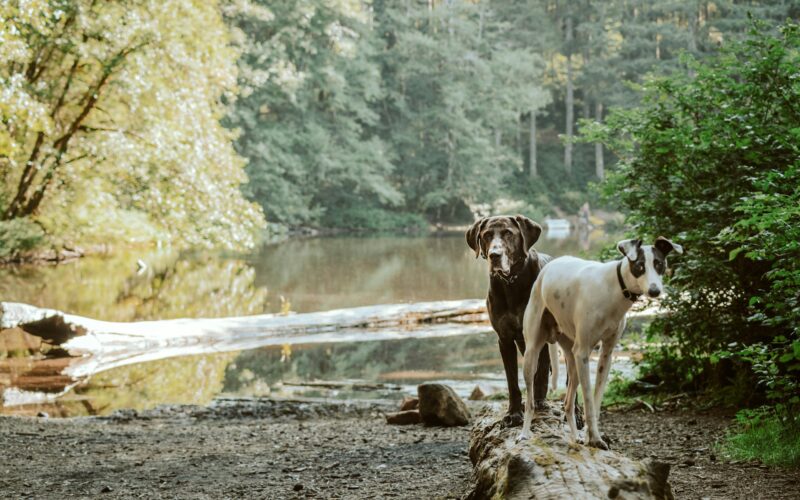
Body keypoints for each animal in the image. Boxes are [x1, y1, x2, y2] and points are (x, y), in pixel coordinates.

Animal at [520, 236, 680, 448]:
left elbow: (595, 403)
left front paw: (592, 436)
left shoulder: (606, 354)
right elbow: (588, 400)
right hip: (533, 354)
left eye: (659, 264)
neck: (613, 289)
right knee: (530, 401)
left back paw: (576, 437)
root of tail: (548, 267)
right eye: (639, 266)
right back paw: (523, 434)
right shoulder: (583, 352)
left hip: (573, 361)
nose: (655, 291)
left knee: (568, 403)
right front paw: (595, 438)